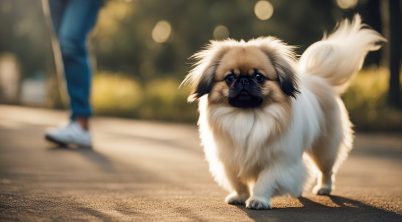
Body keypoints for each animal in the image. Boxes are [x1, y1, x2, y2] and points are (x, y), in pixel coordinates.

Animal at [181, 14, 384, 209]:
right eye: (230, 78)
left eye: (259, 77)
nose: (244, 81)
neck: (248, 116)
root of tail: (320, 80)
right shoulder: (230, 160)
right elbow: (237, 181)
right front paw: (239, 197)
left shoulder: (278, 160)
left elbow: (265, 181)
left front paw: (258, 200)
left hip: (324, 147)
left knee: (325, 169)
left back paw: (324, 188)